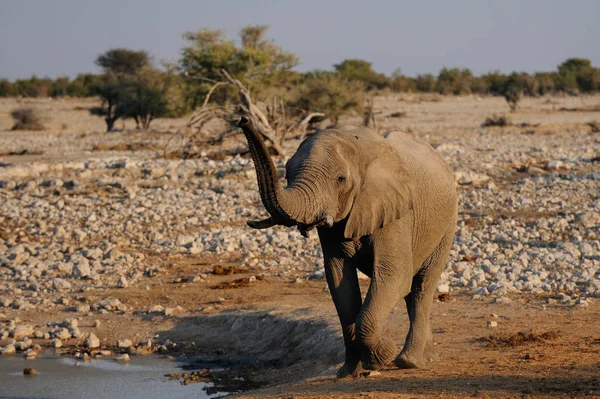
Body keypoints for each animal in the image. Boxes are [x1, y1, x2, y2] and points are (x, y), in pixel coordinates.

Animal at [237, 116, 458, 378]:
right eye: (287, 173)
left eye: (340, 179)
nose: (243, 119)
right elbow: (340, 282)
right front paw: (349, 372)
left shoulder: (397, 213)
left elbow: (393, 276)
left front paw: (382, 356)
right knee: (411, 291)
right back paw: (425, 357)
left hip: (448, 224)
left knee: (422, 286)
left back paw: (409, 361)